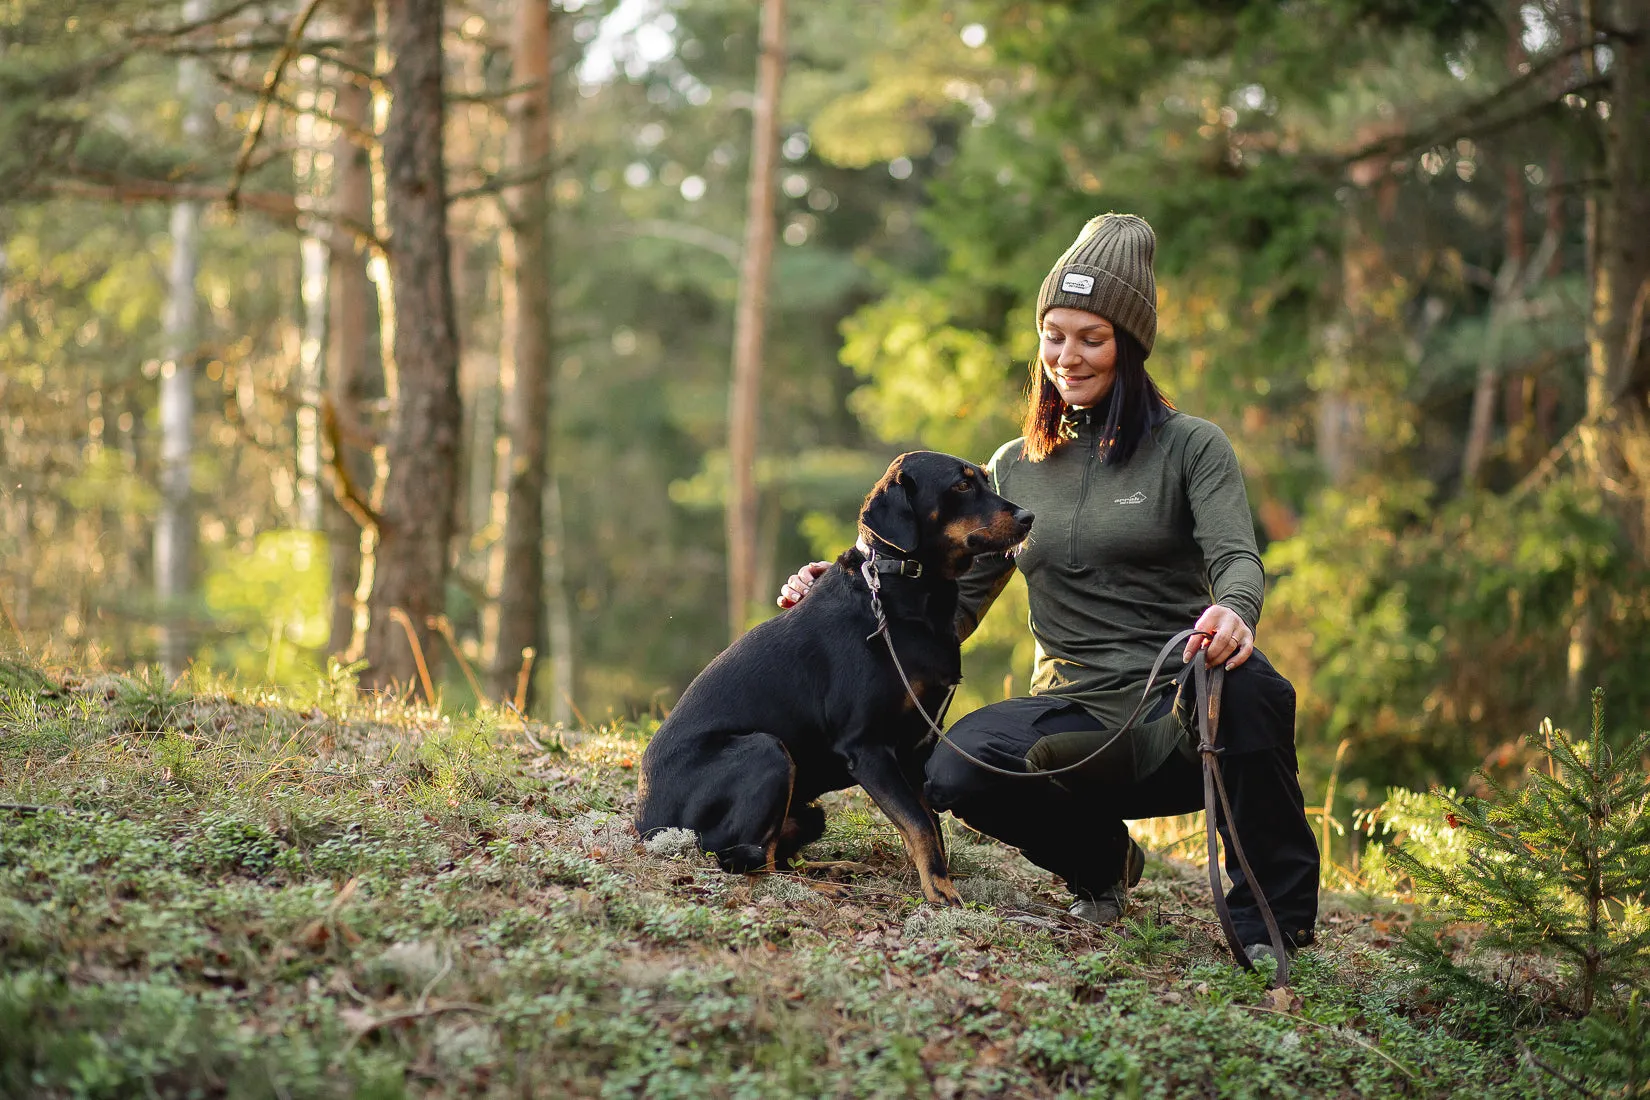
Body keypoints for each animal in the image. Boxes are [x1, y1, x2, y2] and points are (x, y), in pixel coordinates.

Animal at [633, 451, 1029, 910]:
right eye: (961, 485)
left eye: (985, 478)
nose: (1029, 516)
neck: (900, 591)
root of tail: (647, 826)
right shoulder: (867, 746)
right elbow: (919, 823)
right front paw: (941, 891)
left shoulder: (917, 746)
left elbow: (929, 825)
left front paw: (937, 880)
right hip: (766, 751)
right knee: (750, 863)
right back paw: (823, 885)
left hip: (808, 811)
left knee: (774, 855)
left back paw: (834, 869)